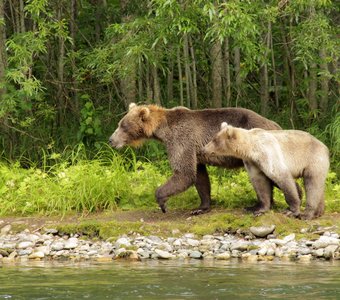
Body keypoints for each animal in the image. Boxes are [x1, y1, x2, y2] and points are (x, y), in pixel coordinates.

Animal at [109, 103, 282, 213]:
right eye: (119, 124)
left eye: (123, 126)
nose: (111, 140)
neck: (163, 131)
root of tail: (275, 124)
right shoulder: (195, 151)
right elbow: (199, 176)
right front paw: (200, 207)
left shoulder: (181, 140)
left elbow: (184, 173)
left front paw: (162, 202)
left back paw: (261, 206)